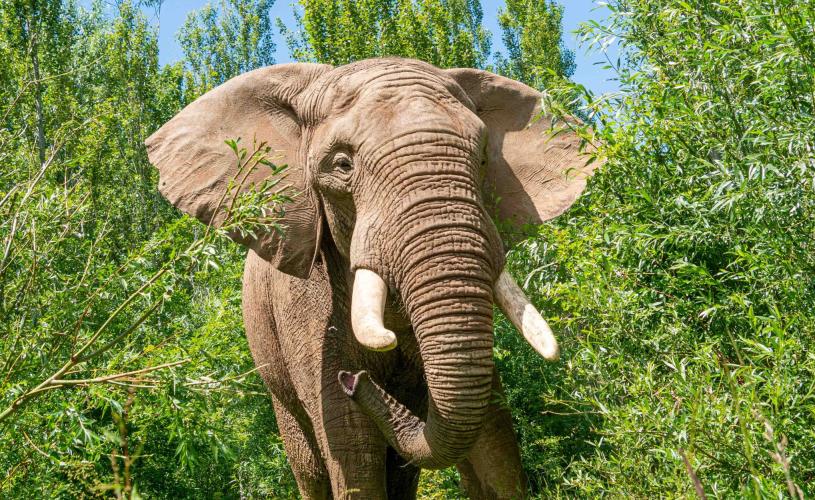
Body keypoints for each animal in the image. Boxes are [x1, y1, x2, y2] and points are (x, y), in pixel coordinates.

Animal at [145, 57, 596, 499]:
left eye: (484, 159)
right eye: (342, 165)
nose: (354, 380)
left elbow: (493, 438)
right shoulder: (305, 301)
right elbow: (351, 443)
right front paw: (349, 393)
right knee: (312, 468)